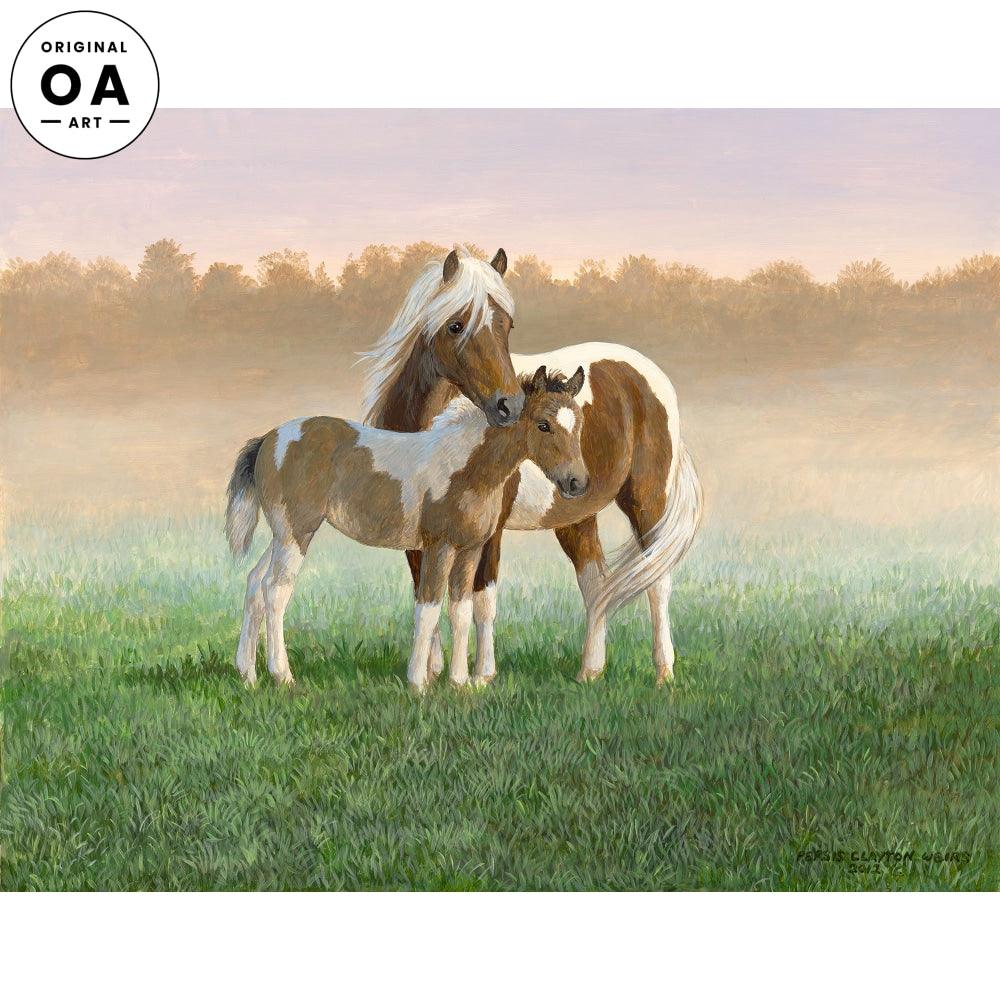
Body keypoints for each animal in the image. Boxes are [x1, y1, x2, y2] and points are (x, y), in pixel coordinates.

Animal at [225, 366, 588, 691]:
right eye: (543, 425)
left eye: (579, 425)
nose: (577, 482)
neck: (466, 469)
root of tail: (269, 439)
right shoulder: (439, 546)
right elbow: (428, 608)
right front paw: (419, 683)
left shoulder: (470, 549)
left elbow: (461, 611)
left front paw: (460, 683)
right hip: (296, 532)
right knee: (276, 590)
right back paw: (282, 676)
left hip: (282, 533)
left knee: (255, 582)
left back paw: (248, 675)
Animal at [363, 252, 703, 686]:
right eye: (456, 325)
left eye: (507, 325)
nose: (508, 405)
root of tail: (647, 374)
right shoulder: (417, 527)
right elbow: (426, 591)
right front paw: (433, 670)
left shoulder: (489, 527)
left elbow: (482, 598)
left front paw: (481, 676)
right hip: (576, 515)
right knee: (596, 583)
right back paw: (590, 671)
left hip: (647, 501)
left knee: (657, 580)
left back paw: (663, 672)